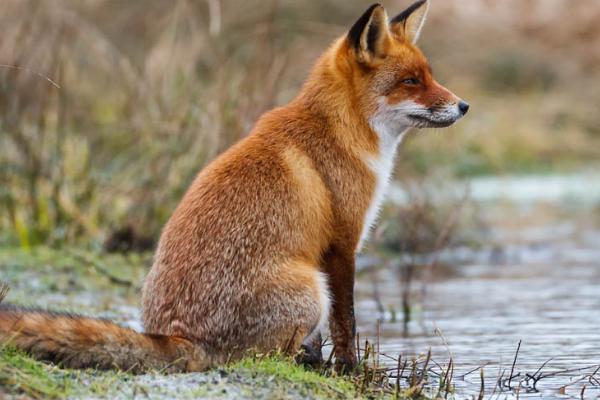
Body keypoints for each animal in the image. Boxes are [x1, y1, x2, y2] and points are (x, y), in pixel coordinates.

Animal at [0, 0, 468, 376]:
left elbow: (330, 333)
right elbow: (346, 322)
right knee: (267, 356)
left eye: (429, 76)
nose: (463, 105)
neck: (339, 131)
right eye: (411, 81)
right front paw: (352, 371)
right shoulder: (340, 246)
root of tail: (182, 337)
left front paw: (329, 364)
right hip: (309, 286)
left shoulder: (329, 250)